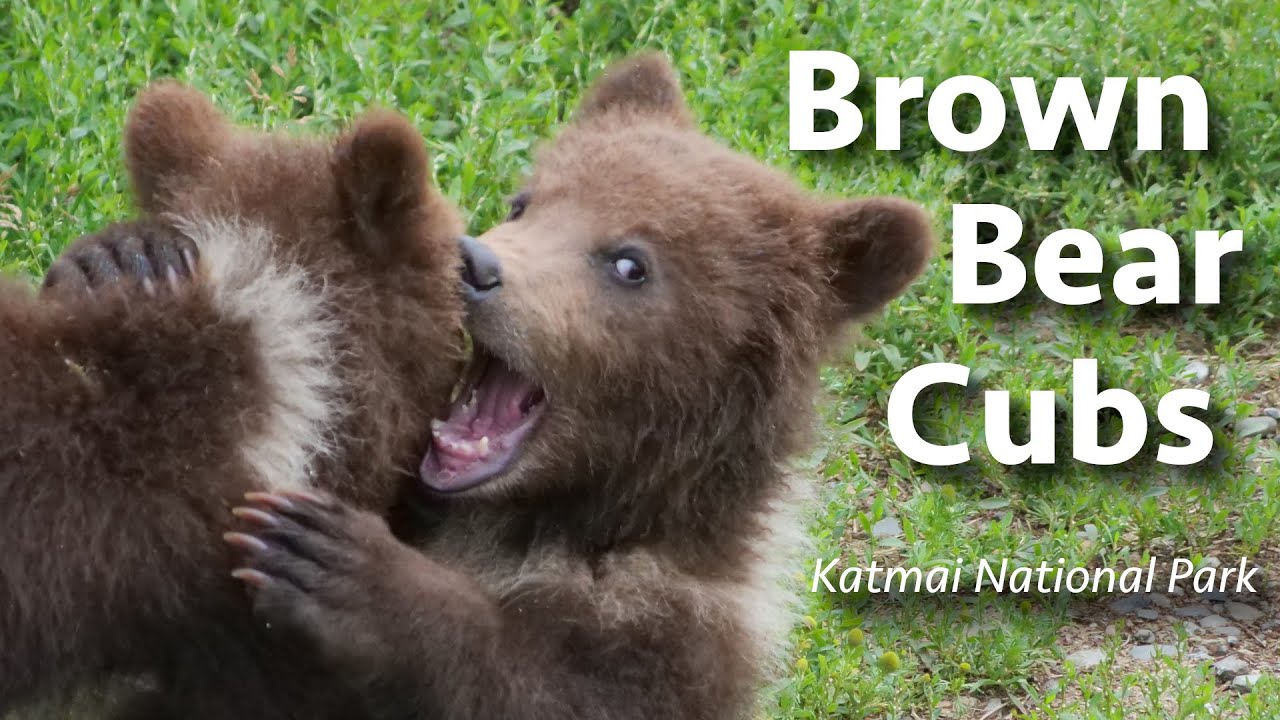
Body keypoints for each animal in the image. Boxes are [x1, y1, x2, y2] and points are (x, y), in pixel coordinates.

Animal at [225, 53, 934, 719]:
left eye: (630, 263)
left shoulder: (668, 638)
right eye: (523, 203)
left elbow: (541, 687)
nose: (474, 263)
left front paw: (335, 563)